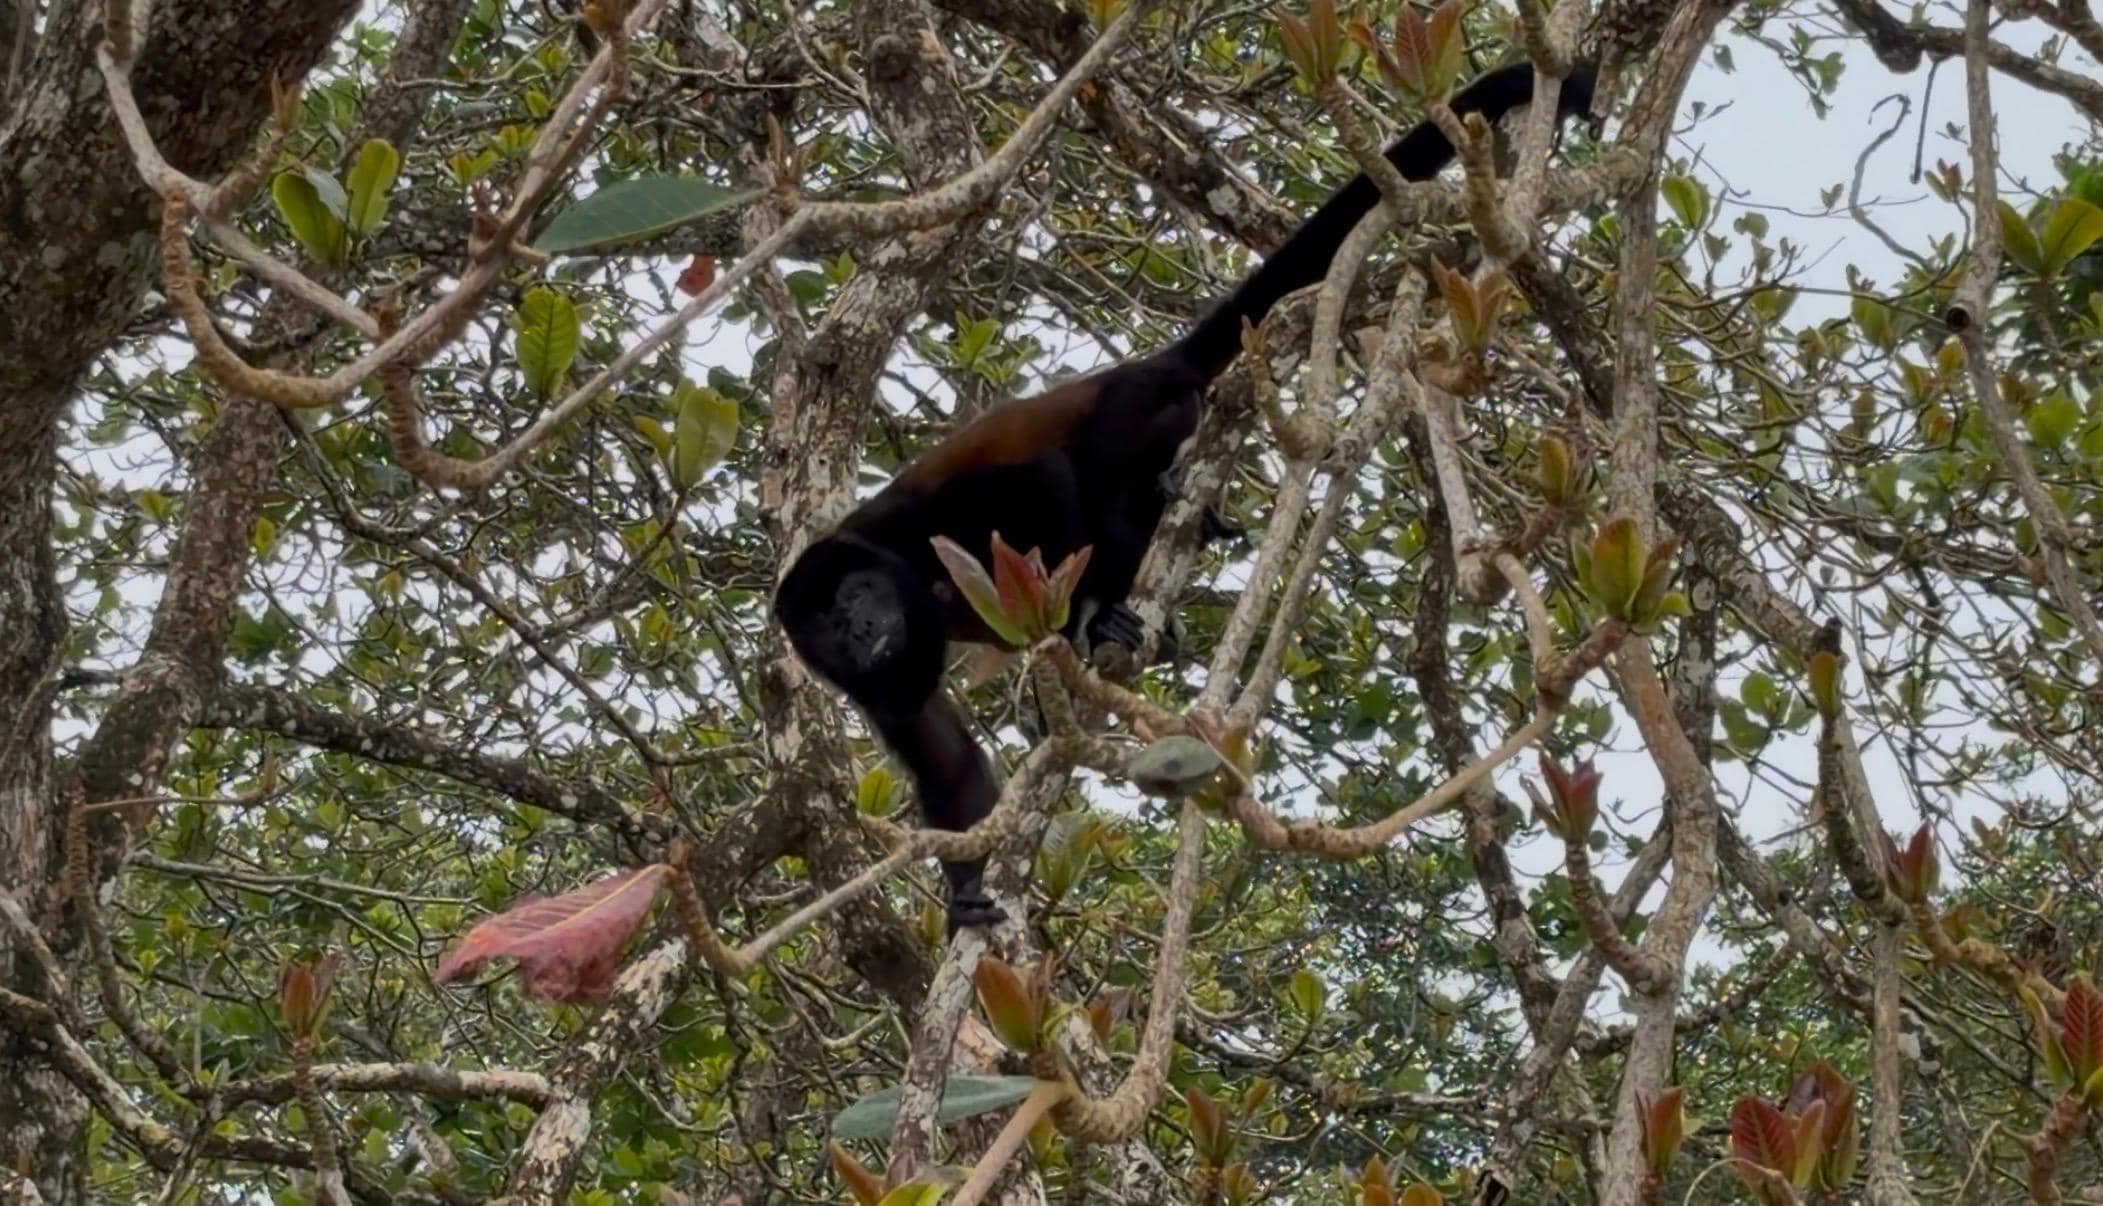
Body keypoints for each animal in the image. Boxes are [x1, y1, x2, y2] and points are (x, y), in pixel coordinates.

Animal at [775, 59, 1599, 932]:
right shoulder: (874, 687)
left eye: (854, 598)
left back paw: (1116, 601)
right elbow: (948, 763)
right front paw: (965, 887)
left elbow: (1038, 485)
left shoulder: (916, 529)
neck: (895, 576)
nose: (860, 627)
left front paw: (1085, 615)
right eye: (829, 628)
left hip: (1141, 407)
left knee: (1099, 478)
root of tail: (1150, 362)